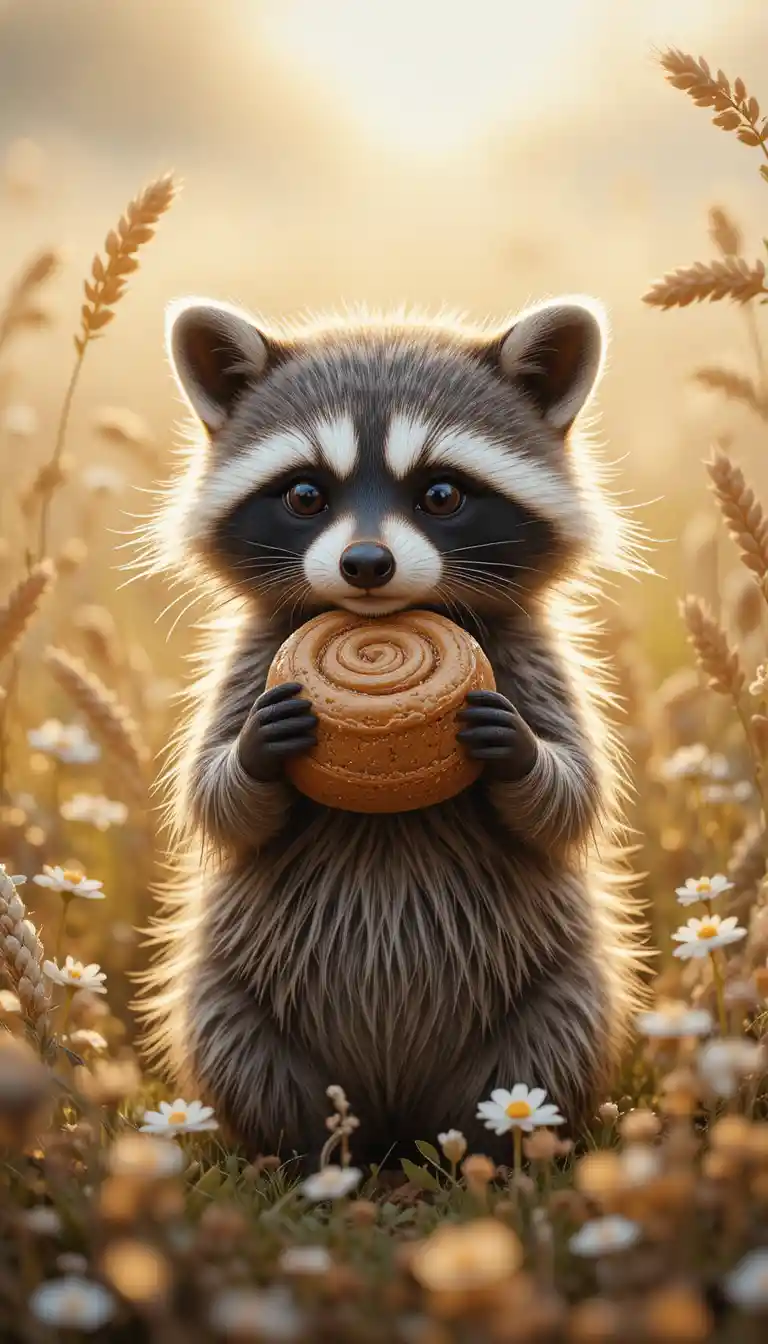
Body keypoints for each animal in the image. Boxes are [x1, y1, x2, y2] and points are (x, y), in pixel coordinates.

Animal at [142, 296, 644, 1166]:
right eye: (305, 496)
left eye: (441, 495)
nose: (366, 564)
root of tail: (394, 1120)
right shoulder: (248, 658)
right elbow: (209, 799)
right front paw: (253, 752)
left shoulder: (538, 658)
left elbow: (579, 795)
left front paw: (520, 751)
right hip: (229, 980)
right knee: (231, 1037)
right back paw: (300, 1156)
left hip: (557, 982)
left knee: (552, 1040)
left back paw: (493, 1157)